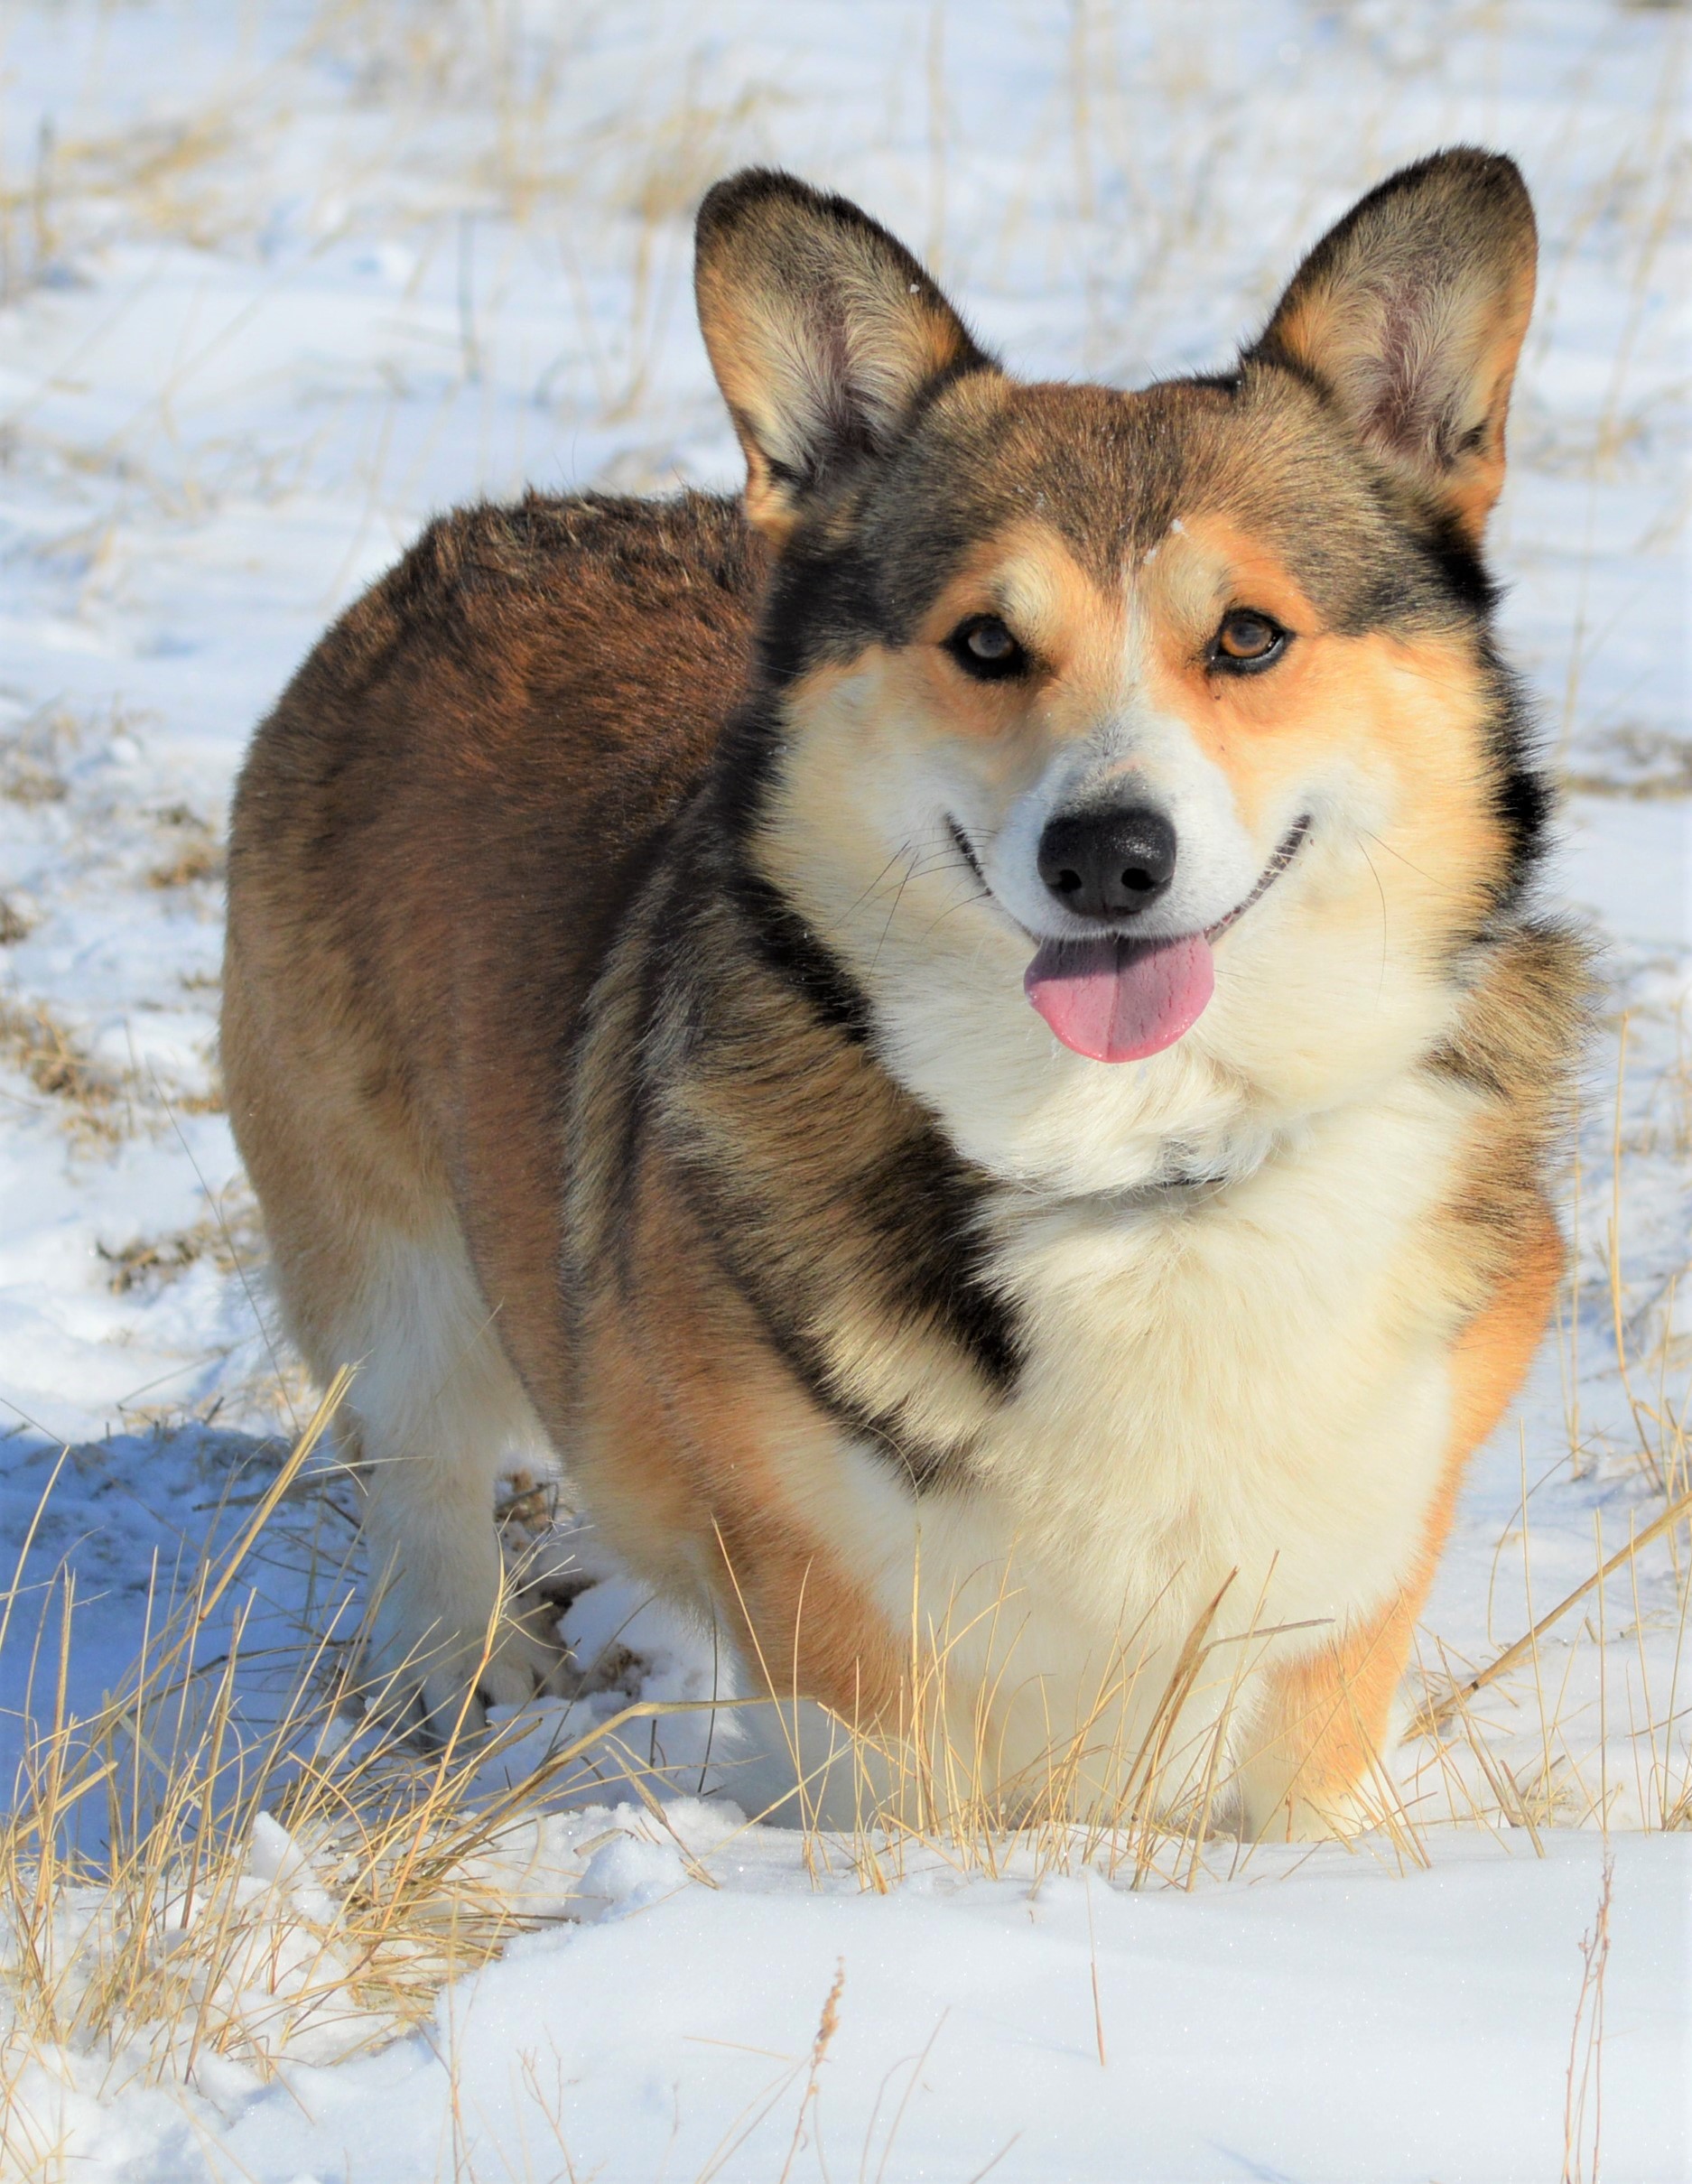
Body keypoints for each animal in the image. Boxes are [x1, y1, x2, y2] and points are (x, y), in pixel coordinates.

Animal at [221, 144, 1589, 1834]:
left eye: (1249, 636)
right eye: (986, 642)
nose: (1105, 855)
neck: (1138, 1165)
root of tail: (451, 543)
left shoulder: (1349, 1573)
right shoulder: (843, 1626)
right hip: (381, 1252)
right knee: (417, 1464)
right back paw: (462, 1671)